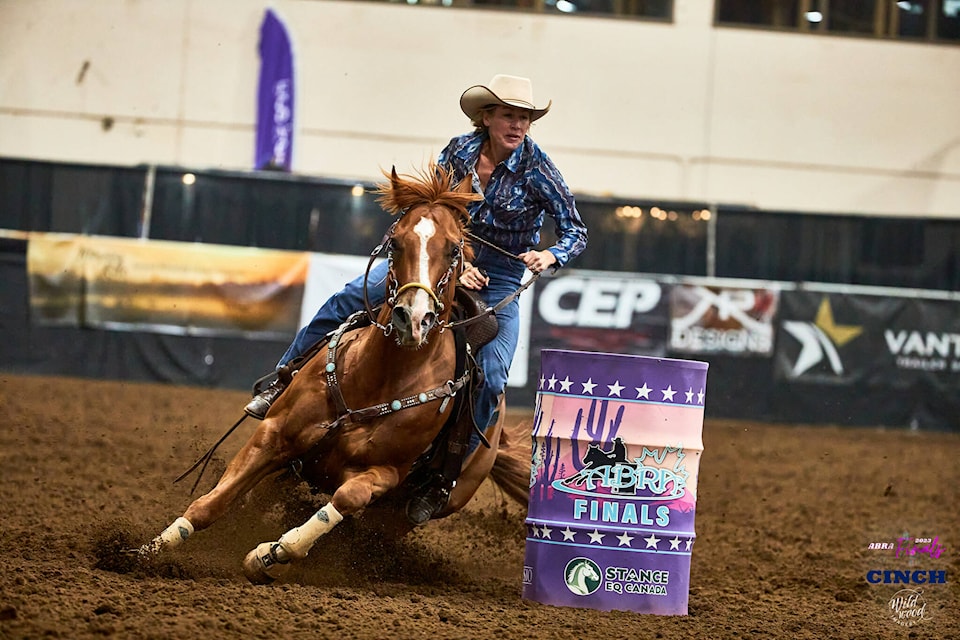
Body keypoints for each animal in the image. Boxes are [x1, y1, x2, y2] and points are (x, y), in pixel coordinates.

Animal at [138, 166, 528, 584]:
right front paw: (146, 551)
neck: (376, 380)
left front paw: (271, 553)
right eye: (395, 242)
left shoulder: (385, 474)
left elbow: (344, 500)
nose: (414, 318)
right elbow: (211, 504)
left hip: (402, 514)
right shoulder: (273, 436)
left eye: (455, 249)